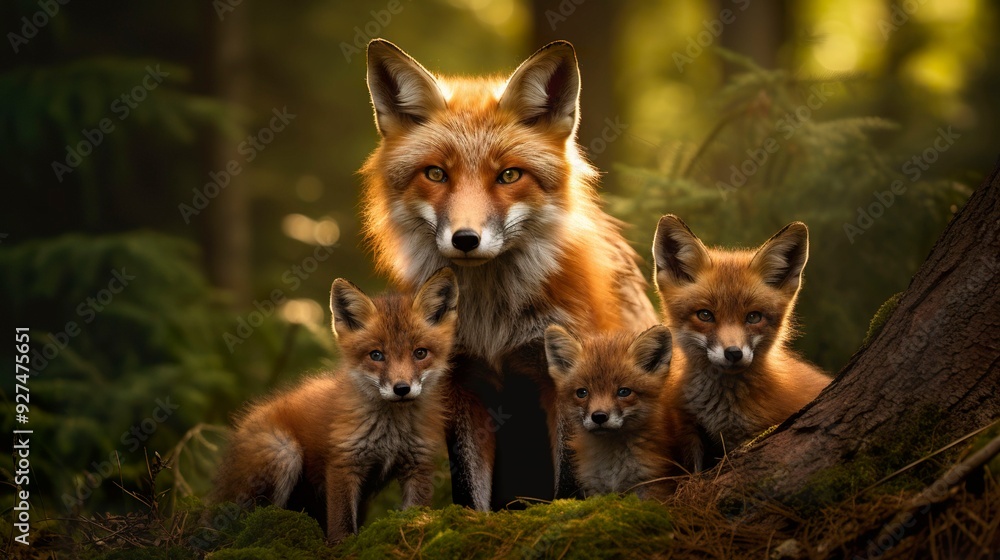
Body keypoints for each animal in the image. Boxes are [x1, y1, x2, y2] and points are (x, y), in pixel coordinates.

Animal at [212, 268, 458, 543]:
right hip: (283, 452)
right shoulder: (344, 463)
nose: (402, 389)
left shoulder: (419, 466)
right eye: (376, 355)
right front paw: (343, 546)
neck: (391, 434)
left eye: (420, 353)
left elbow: (415, 514)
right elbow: (342, 523)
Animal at [360, 39, 658, 509]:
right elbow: (468, 489)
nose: (466, 239)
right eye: (436, 174)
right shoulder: (459, 382)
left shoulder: (569, 378)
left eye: (509, 175)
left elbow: (569, 482)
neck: (493, 325)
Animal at [544, 325, 700, 501]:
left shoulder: (653, 484)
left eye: (624, 392)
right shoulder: (597, 489)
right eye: (582, 393)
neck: (613, 466)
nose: (599, 417)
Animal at [652, 215, 831, 462]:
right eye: (705, 315)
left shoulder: (749, 437)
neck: (721, 412)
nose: (734, 353)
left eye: (753, 317)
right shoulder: (690, 431)